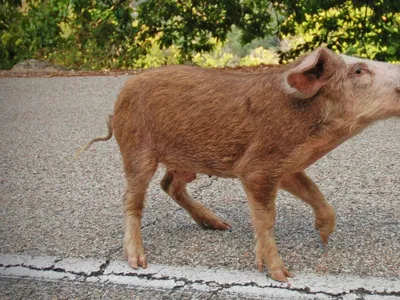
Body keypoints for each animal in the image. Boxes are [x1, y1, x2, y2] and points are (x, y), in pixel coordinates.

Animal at [76, 47, 400, 282]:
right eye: (358, 70)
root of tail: (120, 96)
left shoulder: (287, 167)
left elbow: (317, 196)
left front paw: (324, 237)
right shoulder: (257, 168)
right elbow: (266, 219)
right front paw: (283, 276)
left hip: (186, 161)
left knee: (169, 184)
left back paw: (220, 225)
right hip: (136, 148)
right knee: (132, 198)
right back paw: (138, 262)